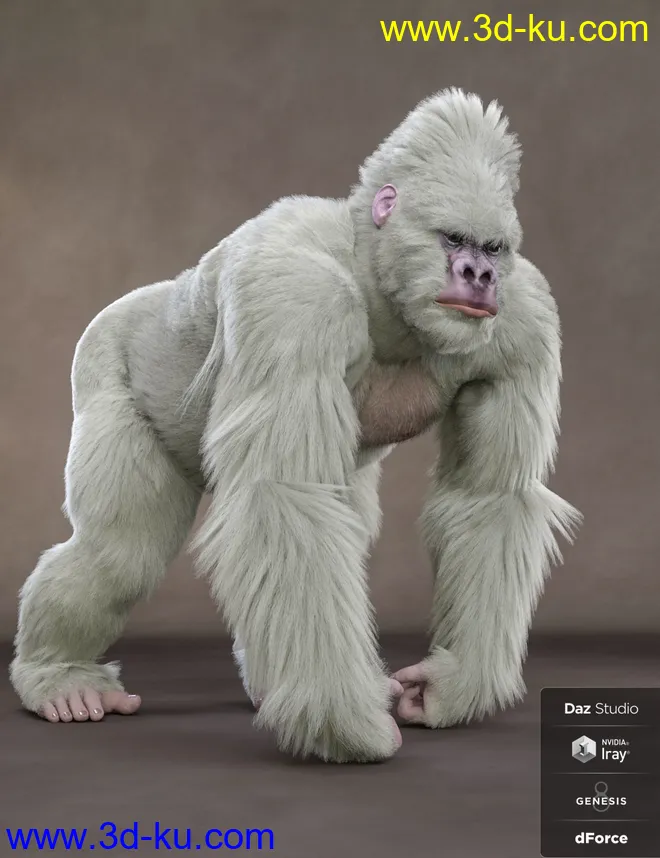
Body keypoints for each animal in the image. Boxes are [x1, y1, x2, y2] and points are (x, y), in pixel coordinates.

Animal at [10, 88, 580, 763]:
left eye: (494, 249)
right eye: (452, 238)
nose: (480, 276)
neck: (378, 284)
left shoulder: (524, 326)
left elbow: (486, 499)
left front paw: (451, 685)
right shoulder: (294, 294)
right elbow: (285, 494)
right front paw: (349, 723)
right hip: (101, 359)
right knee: (118, 555)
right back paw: (56, 673)